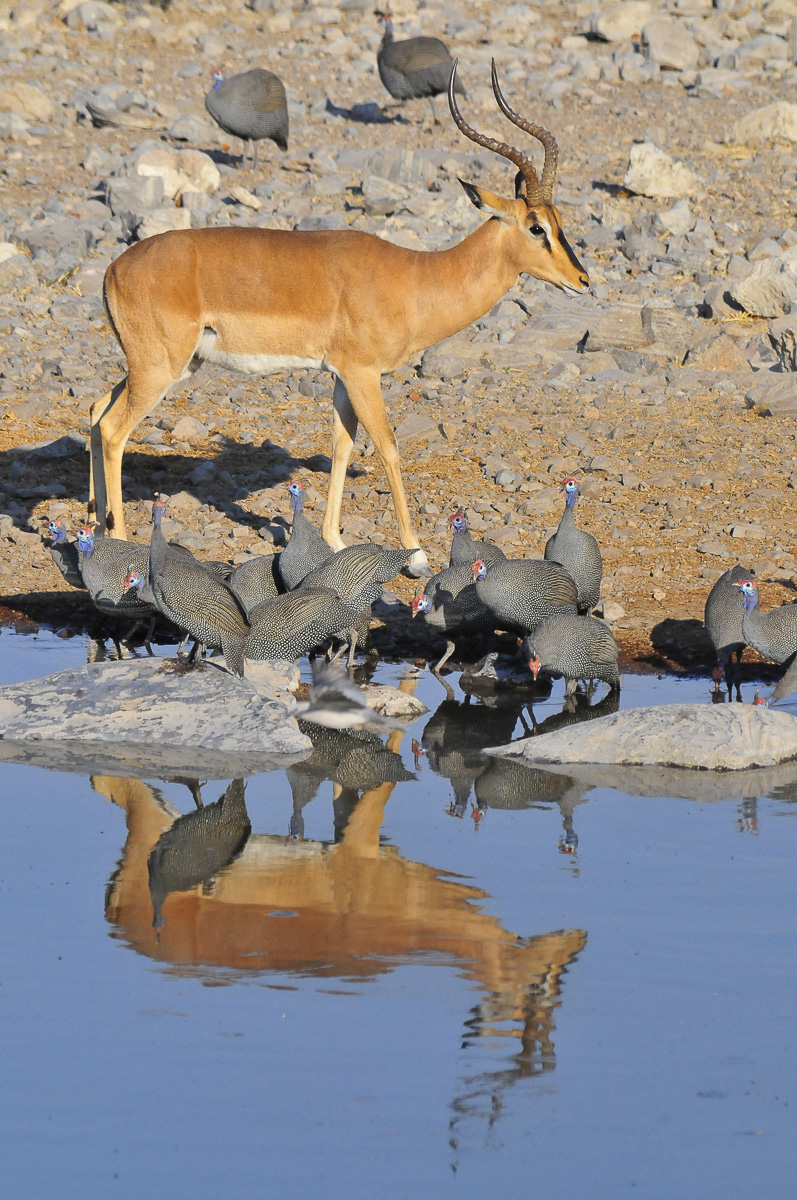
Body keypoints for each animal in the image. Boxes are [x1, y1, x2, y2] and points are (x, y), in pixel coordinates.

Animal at [89, 61, 589, 577]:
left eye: (559, 220)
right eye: (536, 227)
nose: (583, 279)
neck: (415, 279)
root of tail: (114, 268)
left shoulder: (342, 378)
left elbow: (341, 447)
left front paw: (334, 539)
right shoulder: (364, 374)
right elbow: (387, 447)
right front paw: (417, 555)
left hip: (169, 365)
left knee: (95, 411)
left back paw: (97, 526)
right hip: (159, 368)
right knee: (112, 430)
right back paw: (120, 539)